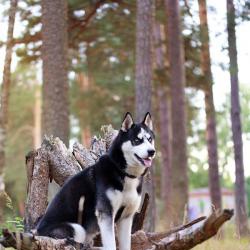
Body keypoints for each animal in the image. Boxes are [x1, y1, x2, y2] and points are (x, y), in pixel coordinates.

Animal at [36, 113, 155, 250]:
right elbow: (111, 245)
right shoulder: (106, 214)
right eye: (137, 140)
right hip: (77, 228)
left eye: (150, 139)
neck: (123, 172)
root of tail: (37, 232)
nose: (152, 152)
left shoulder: (126, 218)